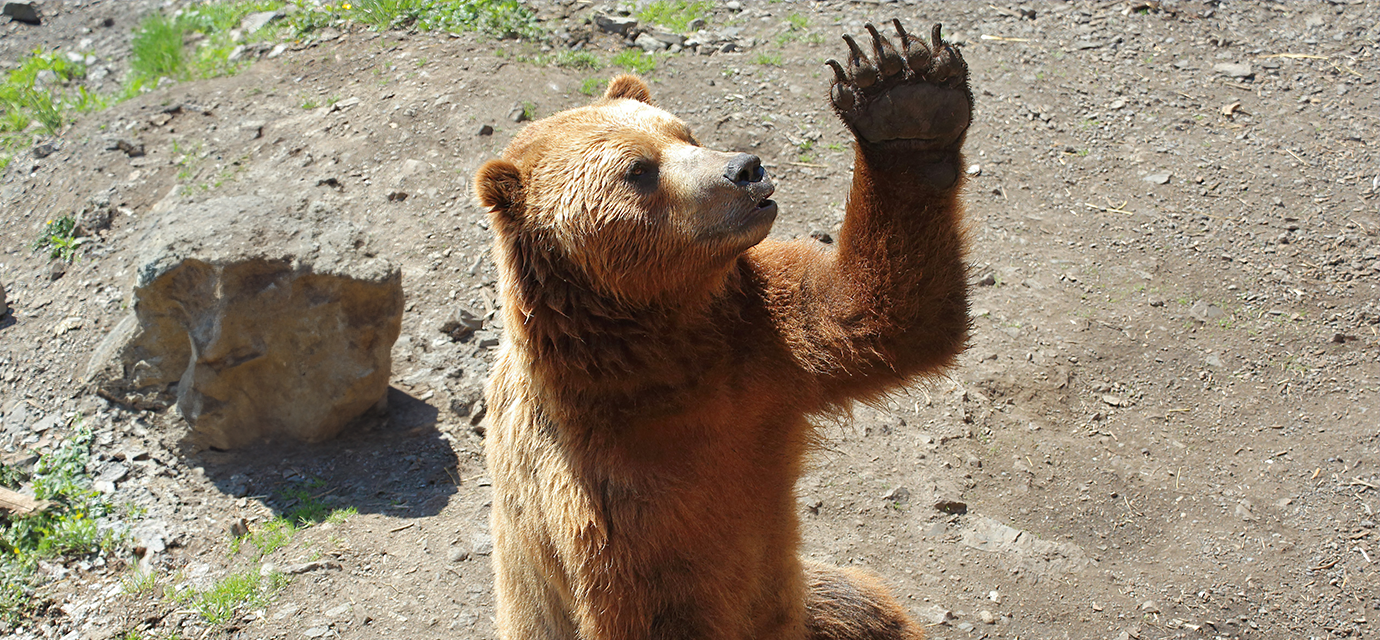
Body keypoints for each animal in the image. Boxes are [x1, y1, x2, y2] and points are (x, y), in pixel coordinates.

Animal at [474, 21, 971, 640]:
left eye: (685, 133)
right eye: (638, 170)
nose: (745, 169)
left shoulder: (760, 349)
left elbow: (878, 316)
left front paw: (906, 99)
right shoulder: (601, 504)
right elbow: (666, 599)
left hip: (819, 599)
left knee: (864, 608)